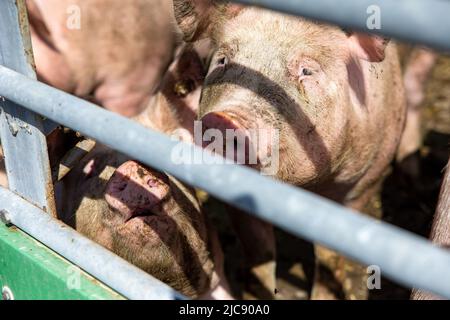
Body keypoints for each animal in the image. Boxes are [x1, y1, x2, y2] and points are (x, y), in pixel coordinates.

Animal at [174, 0, 406, 300]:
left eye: (307, 71)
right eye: (223, 60)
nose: (224, 121)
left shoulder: (361, 184)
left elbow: (329, 256)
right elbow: (259, 248)